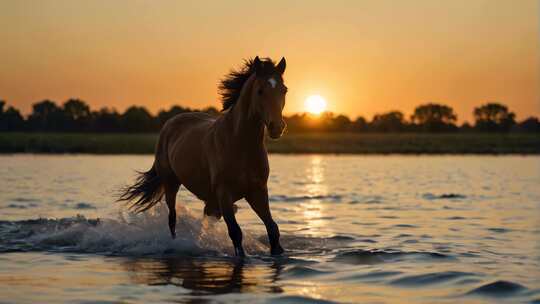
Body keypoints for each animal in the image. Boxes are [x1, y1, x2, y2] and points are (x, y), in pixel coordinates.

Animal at [118, 55, 286, 255]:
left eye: (284, 90)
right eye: (260, 91)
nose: (277, 127)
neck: (239, 144)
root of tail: (171, 123)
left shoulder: (258, 192)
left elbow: (273, 229)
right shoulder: (224, 193)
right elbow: (236, 233)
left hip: (210, 200)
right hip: (171, 183)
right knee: (172, 218)